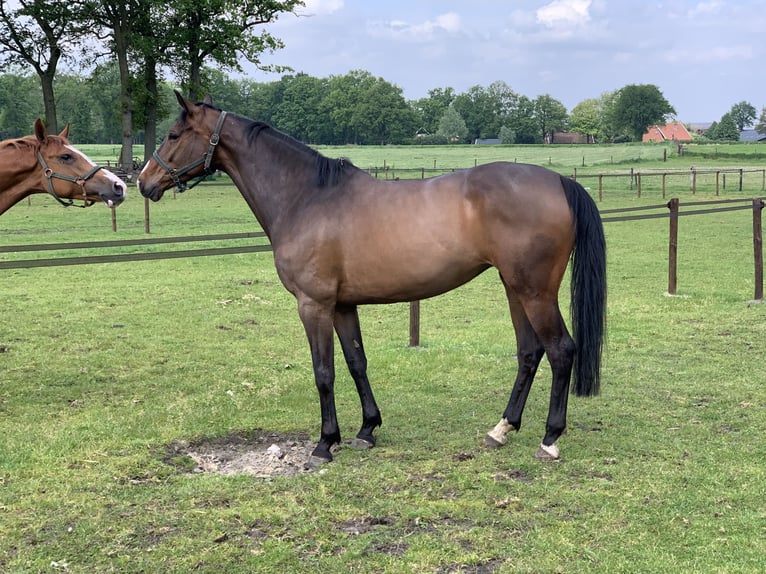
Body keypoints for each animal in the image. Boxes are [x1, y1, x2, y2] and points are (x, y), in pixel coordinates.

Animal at [136, 94, 608, 470]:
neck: (308, 198)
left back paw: (549, 439)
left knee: (561, 351)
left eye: (174, 135)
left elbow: (324, 371)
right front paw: (366, 430)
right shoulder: (343, 305)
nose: (143, 182)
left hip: (535, 292)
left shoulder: (313, 305)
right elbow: (356, 362)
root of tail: (558, 181)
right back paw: (502, 429)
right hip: (515, 289)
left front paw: (324, 444)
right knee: (529, 353)